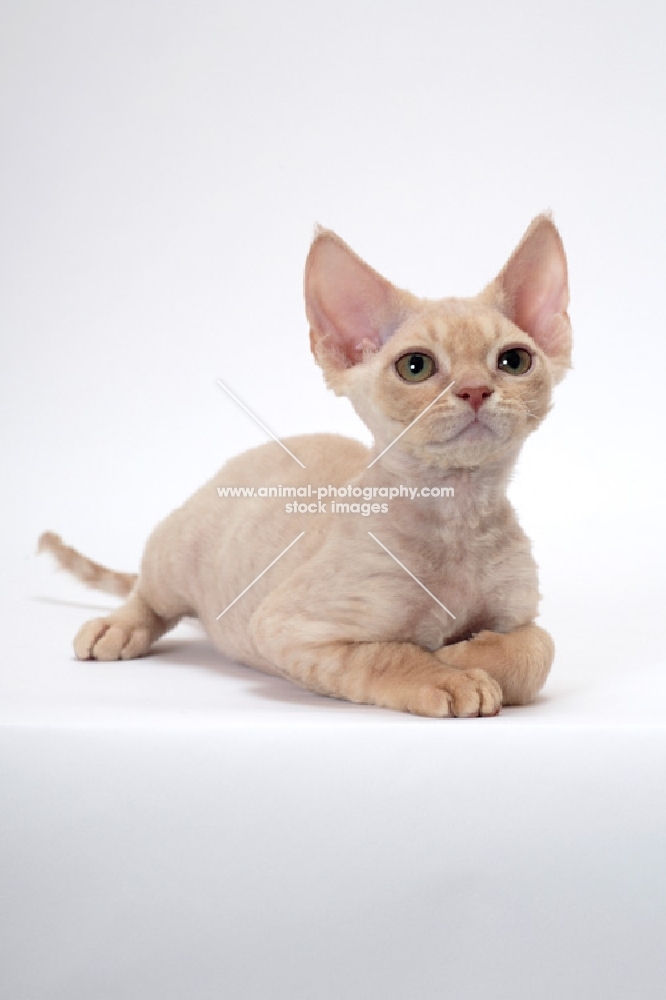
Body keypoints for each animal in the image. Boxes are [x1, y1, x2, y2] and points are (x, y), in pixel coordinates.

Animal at [40, 217, 572, 720]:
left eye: (514, 360)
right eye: (415, 367)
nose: (476, 390)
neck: (457, 513)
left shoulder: (522, 613)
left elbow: (539, 647)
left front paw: (467, 652)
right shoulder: (287, 627)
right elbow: (386, 655)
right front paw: (448, 673)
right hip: (178, 555)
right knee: (149, 593)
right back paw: (117, 626)